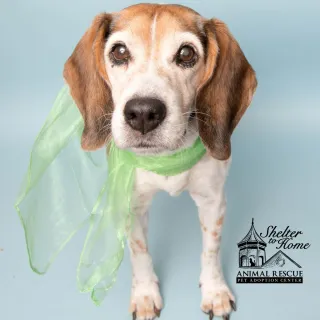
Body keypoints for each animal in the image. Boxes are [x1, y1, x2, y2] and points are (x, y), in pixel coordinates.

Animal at [63, 3, 258, 320]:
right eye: (119, 51)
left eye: (186, 53)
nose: (143, 112)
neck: (166, 157)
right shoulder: (131, 202)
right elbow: (140, 251)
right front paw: (144, 294)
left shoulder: (213, 200)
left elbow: (211, 250)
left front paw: (214, 290)